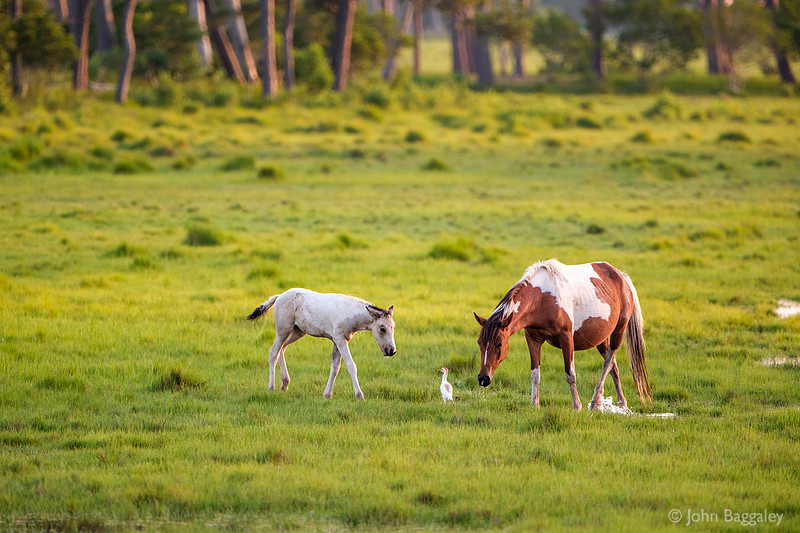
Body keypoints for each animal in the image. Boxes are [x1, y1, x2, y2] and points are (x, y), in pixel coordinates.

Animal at [247, 288, 396, 400]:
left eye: (393, 327)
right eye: (382, 328)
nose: (391, 351)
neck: (349, 313)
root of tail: (279, 296)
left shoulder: (337, 340)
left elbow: (335, 367)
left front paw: (327, 395)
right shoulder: (340, 340)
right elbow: (351, 365)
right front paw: (360, 396)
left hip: (298, 331)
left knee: (282, 349)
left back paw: (285, 384)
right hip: (283, 330)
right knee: (273, 352)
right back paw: (271, 387)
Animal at [473, 259, 651, 410]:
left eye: (499, 344)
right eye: (479, 343)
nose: (483, 378)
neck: (542, 299)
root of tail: (622, 277)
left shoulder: (566, 338)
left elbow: (570, 374)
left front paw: (576, 406)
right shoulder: (533, 339)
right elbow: (535, 374)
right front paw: (534, 405)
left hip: (618, 332)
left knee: (608, 362)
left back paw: (596, 401)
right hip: (601, 339)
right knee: (613, 365)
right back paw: (620, 402)